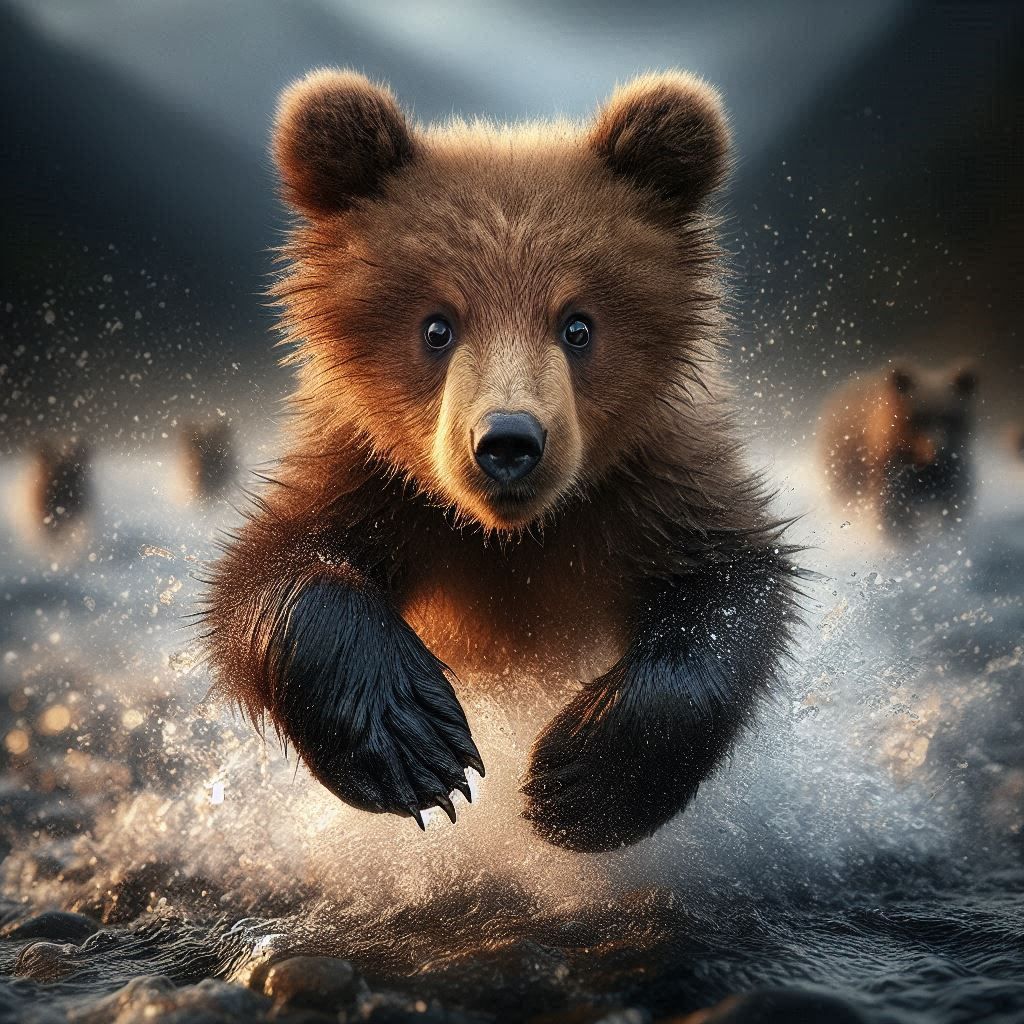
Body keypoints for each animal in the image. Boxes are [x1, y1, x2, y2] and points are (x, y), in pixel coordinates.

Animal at [202, 69, 797, 852]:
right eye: (437, 326)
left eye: (578, 325)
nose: (508, 442)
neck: (512, 536)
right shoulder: (373, 481)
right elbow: (270, 573)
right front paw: (416, 742)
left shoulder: (651, 485)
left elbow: (733, 586)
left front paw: (581, 775)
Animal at [819, 362, 977, 540]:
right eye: (919, 418)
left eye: (951, 418)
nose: (938, 450)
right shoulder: (893, 471)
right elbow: (894, 512)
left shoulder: (950, 475)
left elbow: (954, 505)